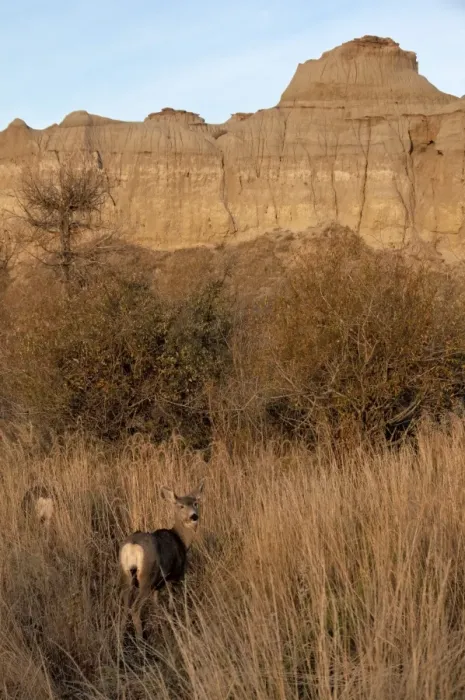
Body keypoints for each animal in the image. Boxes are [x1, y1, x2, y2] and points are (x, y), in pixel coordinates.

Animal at [119, 479, 204, 638]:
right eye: (181, 506)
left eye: (196, 503)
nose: (194, 516)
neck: (181, 540)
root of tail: (132, 545)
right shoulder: (176, 574)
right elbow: (172, 600)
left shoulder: (157, 585)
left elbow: (156, 602)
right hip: (146, 575)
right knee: (135, 608)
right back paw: (140, 639)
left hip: (126, 574)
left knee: (125, 607)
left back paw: (120, 639)